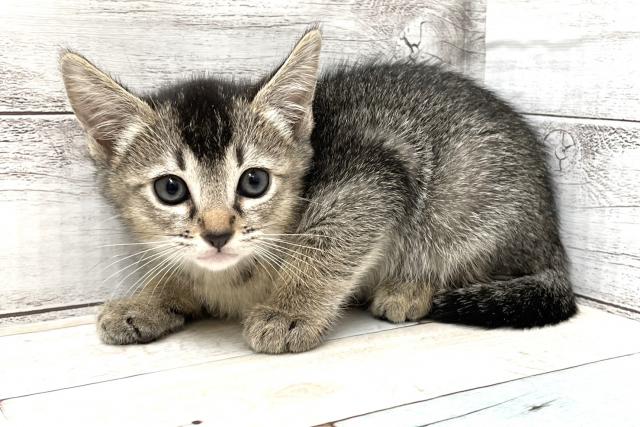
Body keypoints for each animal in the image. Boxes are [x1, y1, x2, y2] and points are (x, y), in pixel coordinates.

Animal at [60, 29, 577, 354]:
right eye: (170, 188)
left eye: (254, 181)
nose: (218, 234)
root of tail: (551, 237)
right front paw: (148, 300)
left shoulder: (373, 175)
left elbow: (329, 242)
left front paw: (290, 311)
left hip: (467, 202)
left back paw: (408, 289)